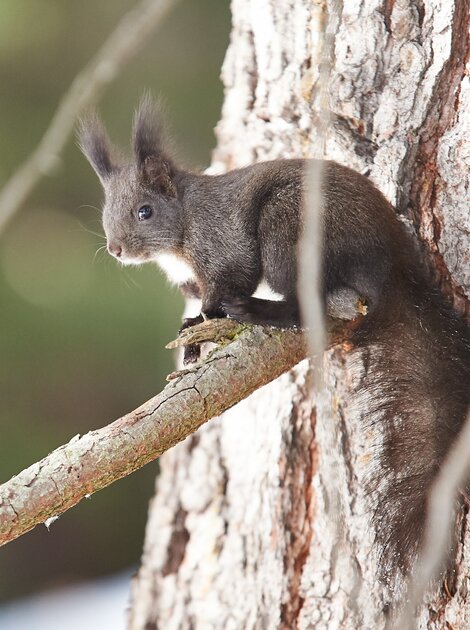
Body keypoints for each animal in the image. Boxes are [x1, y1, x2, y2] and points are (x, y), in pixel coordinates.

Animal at [79, 97, 470, 604]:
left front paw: (206, 320)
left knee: (303, 303)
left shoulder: (224, 246)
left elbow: (231, 280)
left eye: (145, 211)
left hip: (290, 228)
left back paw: (258, 309)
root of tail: (394, 263)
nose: (117, 248)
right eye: (107, 210)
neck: (183, 230)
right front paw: (192, 335)